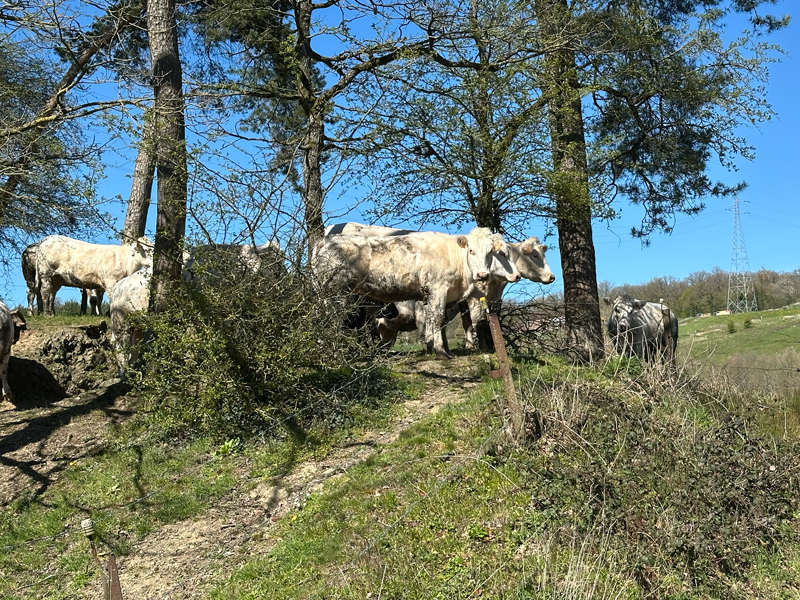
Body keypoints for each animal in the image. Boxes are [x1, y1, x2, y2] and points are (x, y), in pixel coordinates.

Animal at [312, 227, 520, 358]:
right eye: (471, 251)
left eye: (491, 252)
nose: (482, 274)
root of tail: (324, 242)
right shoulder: (438, 289)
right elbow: (436, 319)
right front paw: (440, 352)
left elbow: (439, 322)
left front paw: (444, 350)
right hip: (335, 292)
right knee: (334, 321)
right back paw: (338, 352)